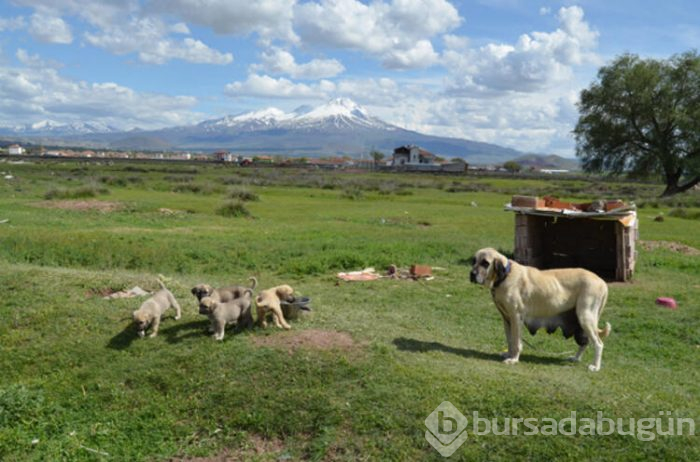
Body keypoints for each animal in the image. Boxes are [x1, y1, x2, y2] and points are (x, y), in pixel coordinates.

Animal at [470, 249, 612, 372]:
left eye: (485, 263)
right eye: (474, 261)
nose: (472, 274)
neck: (505, 275)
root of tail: (603, 283)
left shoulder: (516, 318)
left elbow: (516, 342)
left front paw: (514, 359)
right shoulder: (507, 319)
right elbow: (510, 340)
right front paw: (509, 355)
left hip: (585, 317)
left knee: (598, 344)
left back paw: (595, 366)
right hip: (581, 321)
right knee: (585, 342)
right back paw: (576, 358)